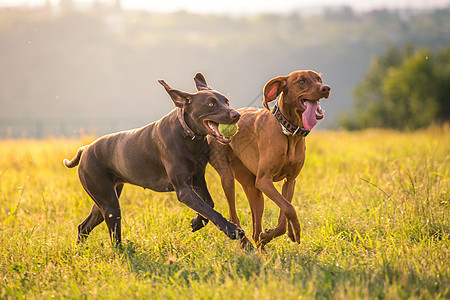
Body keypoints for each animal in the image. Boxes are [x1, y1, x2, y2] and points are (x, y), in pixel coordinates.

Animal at [208, 70, 330, 248]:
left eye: (319, 79)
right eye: (301, 81)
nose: (326, 88)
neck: (288, 131)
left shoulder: (290, 181)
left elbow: (285, 212)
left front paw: (283, 233)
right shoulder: (264, 180)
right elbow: (289, 208)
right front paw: (292, 230)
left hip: (253, 189)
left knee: (255, 230)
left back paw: (259, 245)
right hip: (228, 177)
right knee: (234, 216)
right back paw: (245, 244)